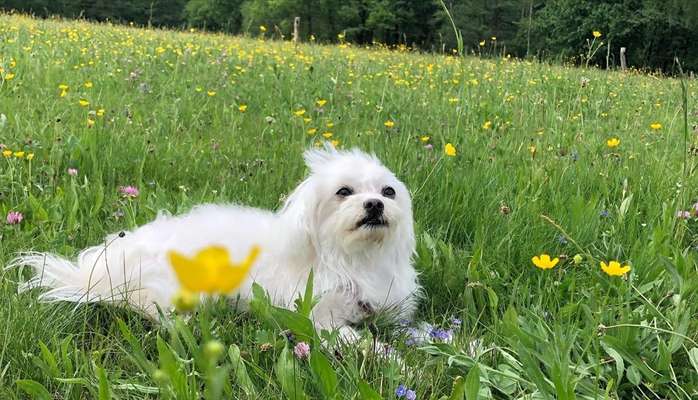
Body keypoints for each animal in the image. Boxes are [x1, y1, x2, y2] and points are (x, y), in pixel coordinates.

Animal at [12, 145, 418, 340]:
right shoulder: (316, 318)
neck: (353, 259)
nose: (374, 204)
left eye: (388, 191)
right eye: (344, 191)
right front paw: (391, 359)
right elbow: (357, 340)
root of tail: (102, 266)